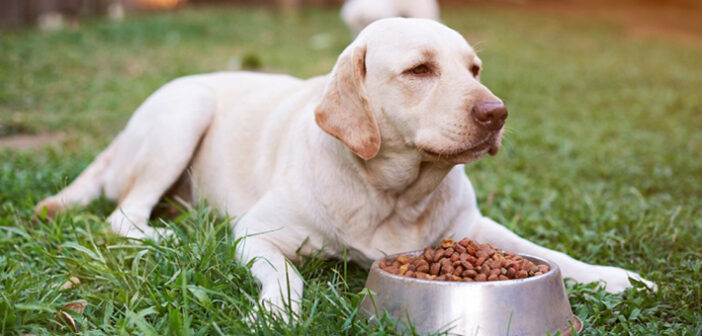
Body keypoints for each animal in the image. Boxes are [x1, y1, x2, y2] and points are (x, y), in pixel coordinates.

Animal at [37, 17, 656, 318]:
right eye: (419, 70)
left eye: (474, 69)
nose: (497, 113)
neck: (394, 194)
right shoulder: (256, 234)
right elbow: (286, 278)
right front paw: (276, 312)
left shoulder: (473, 230)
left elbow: (551, 254)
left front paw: (617, 277)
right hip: (184, 112)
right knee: (122, 217)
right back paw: (167, 236)